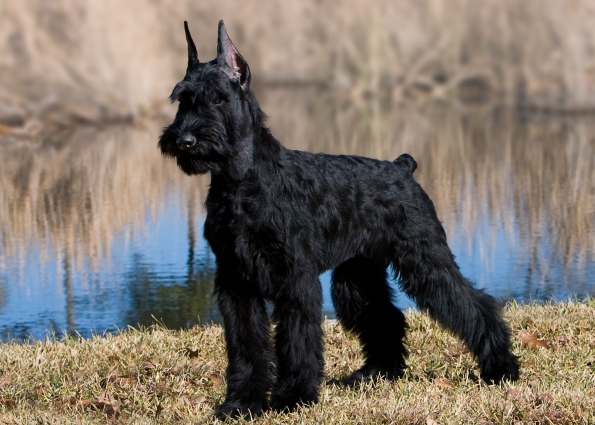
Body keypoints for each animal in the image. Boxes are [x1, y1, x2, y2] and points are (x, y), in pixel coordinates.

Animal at [157, 20, 516, 418]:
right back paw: (376, 373)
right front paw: (242, 402)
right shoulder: (236, 283)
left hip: (426, 263)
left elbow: (297, 341)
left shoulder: (295, 280)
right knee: (387, 318)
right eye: (182, 99)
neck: (241, 182)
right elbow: (246, 346)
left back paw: (501, 368)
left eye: (218, 98)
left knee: (476, 305)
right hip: (357, 278)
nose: (184, 140)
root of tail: (402, 167)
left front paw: (293, 397)